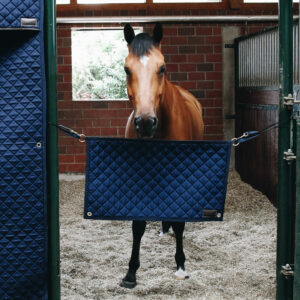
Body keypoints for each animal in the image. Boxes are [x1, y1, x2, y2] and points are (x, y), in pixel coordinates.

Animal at [120, 22, 205, 290]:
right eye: (127, 68)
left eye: (162, 67)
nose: (146, 122)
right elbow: (138, 224)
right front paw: (131, 273)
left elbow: (179, 221)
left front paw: (180, 266)